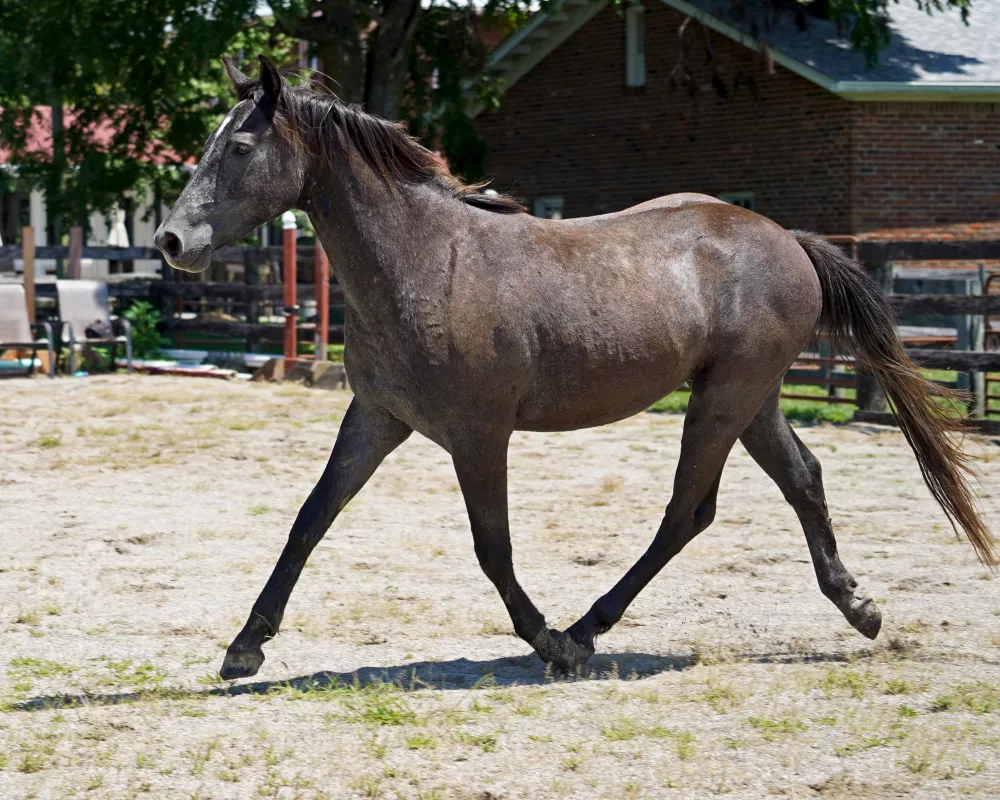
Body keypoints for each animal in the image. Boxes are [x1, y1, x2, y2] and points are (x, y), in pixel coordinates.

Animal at [156, 56, 992, 680]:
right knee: (801, 481)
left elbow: (492, 548)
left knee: (687, 512)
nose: (170, 241)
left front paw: (549, 643)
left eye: (238, 149)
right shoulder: (378, 418)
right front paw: (244, 647)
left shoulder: (479, 433)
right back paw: (859, 608)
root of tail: (788, 239)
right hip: (751, 399)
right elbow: (310, 518)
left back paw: (588, 629)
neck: (426, 261)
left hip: (725, 398)